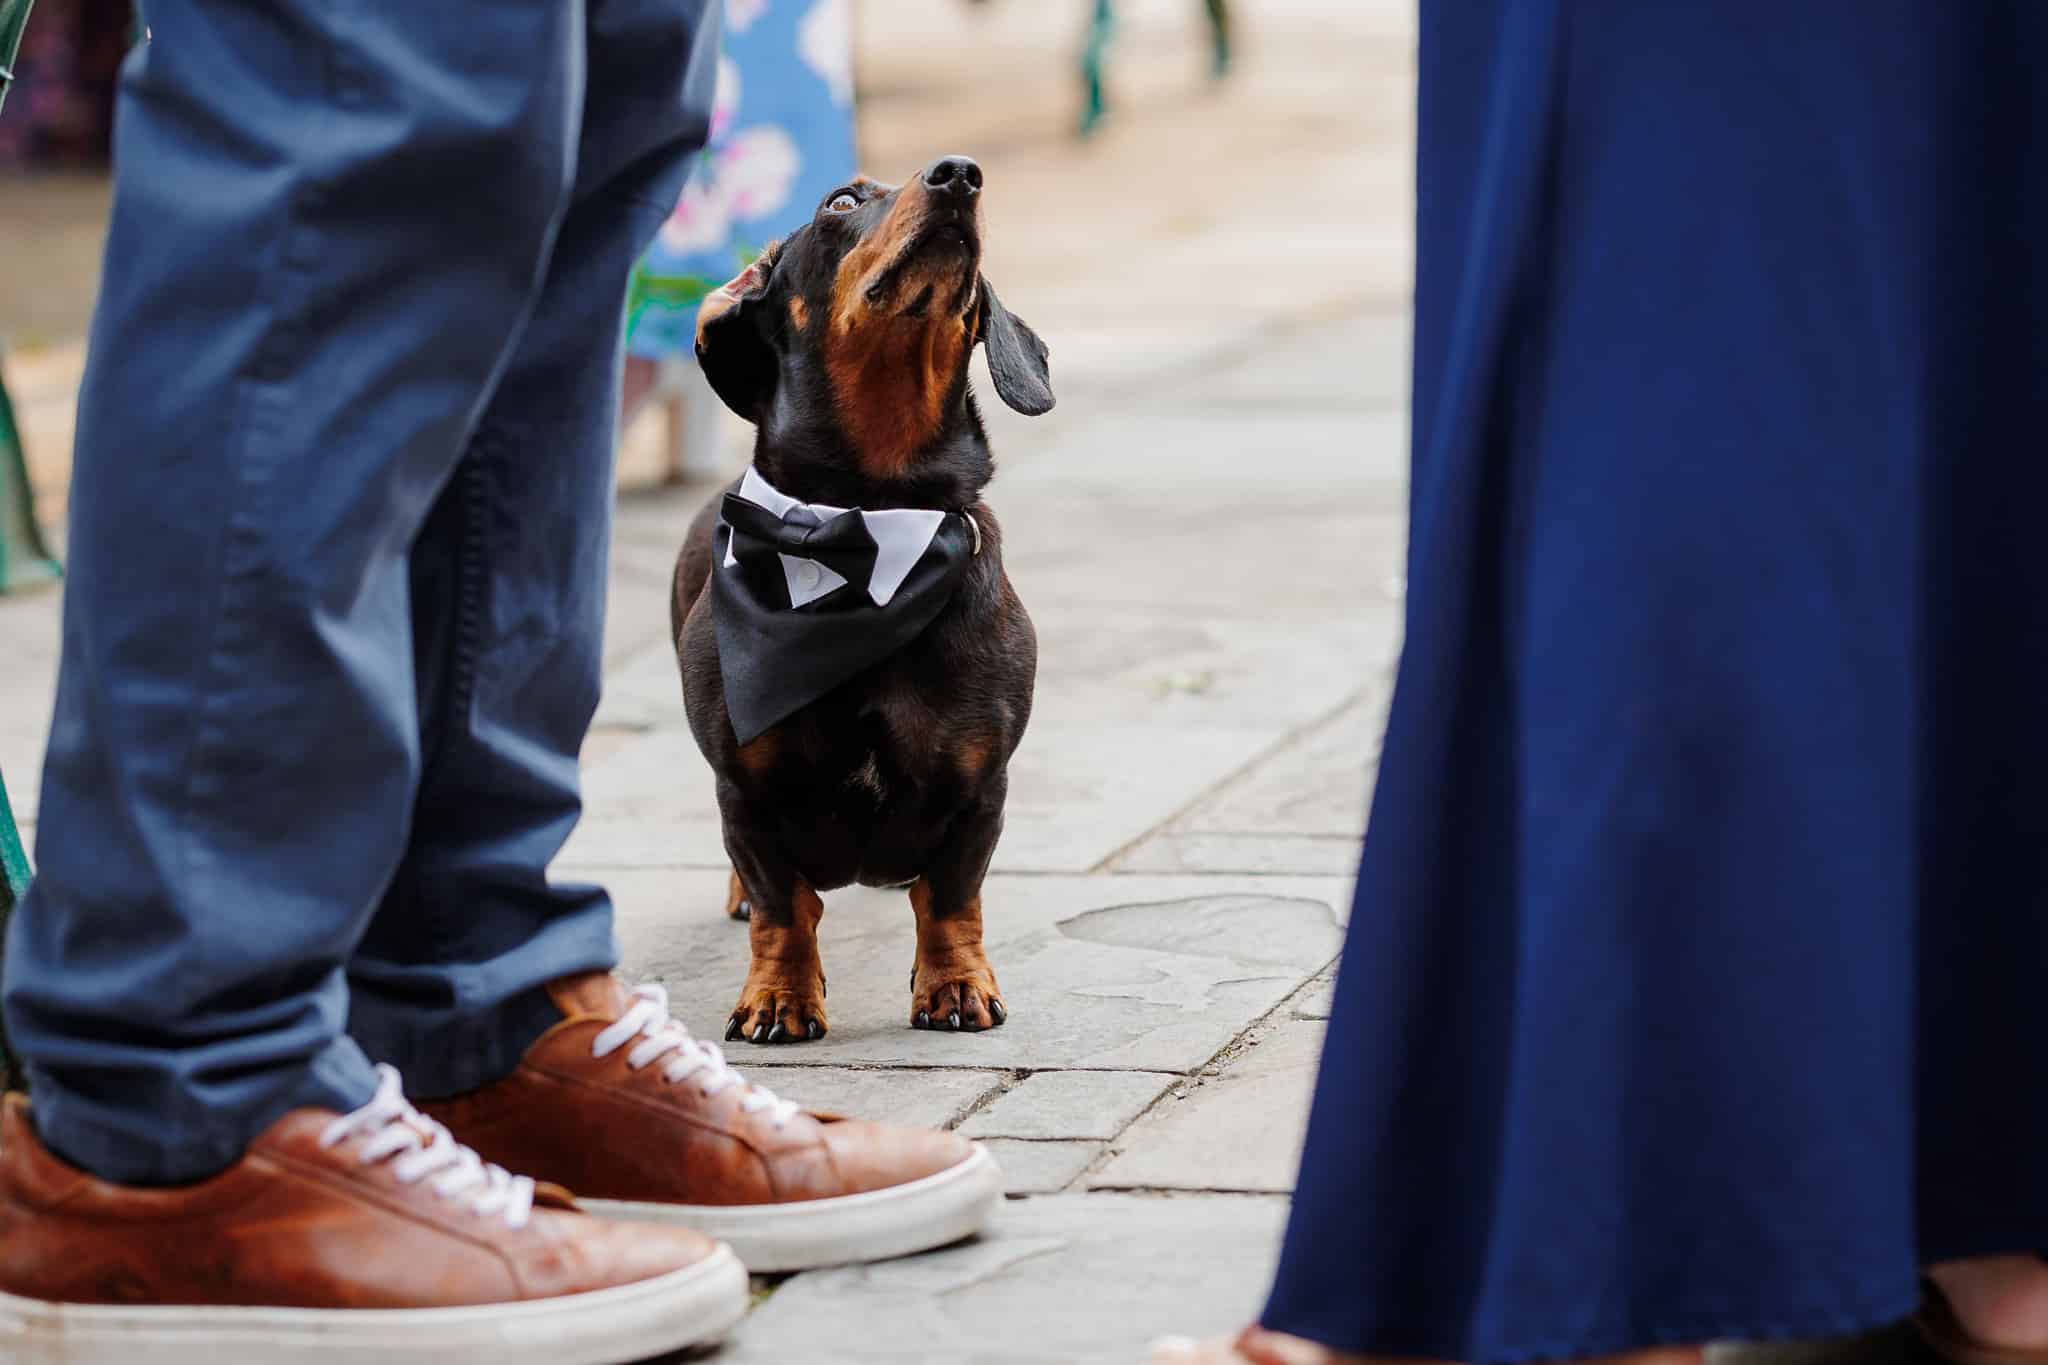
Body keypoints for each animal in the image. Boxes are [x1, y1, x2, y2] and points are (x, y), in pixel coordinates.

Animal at [671, 154, 1056, 1047]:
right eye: (840, 202)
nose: (960, 176)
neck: (867, 523)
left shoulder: (981, 784)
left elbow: (950, 898)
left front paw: (955, 986)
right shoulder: (744, 788)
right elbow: (783, 905)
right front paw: (778, 998)